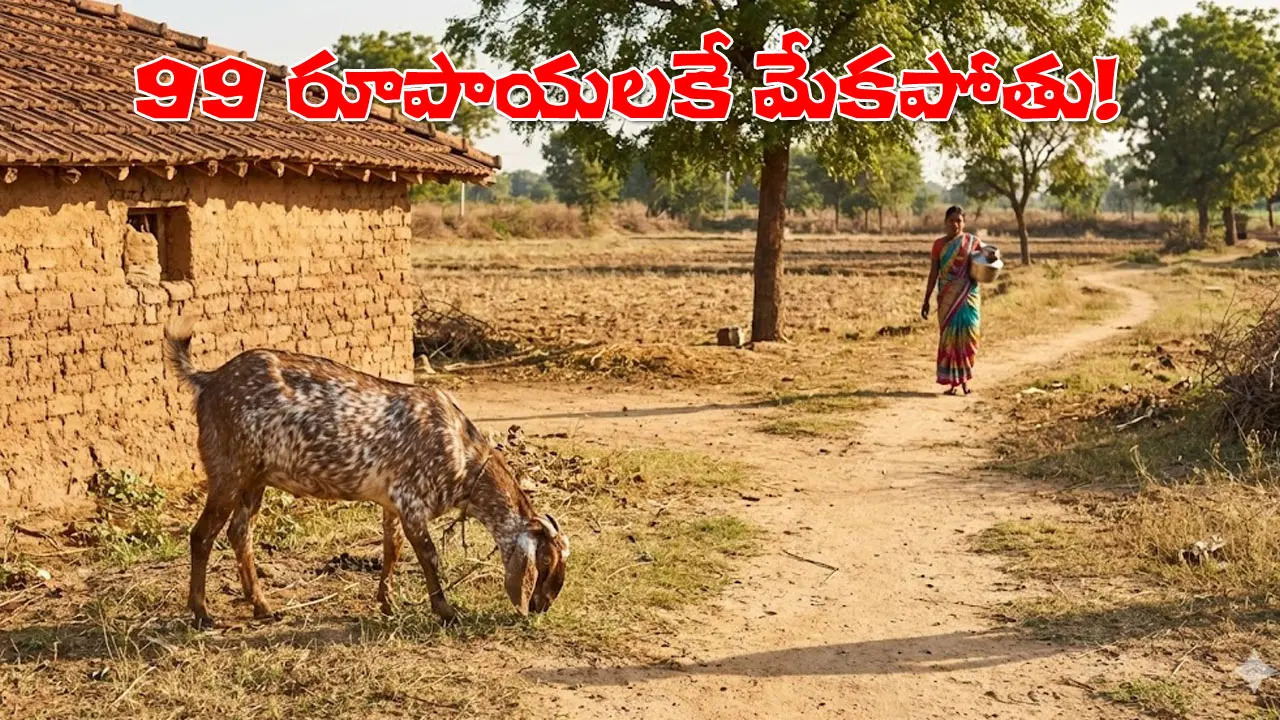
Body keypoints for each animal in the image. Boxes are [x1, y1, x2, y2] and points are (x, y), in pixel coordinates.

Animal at [162, 316, 568, 628]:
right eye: (546, 561)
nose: (542, 606)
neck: (465, 457)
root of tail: (209, 379)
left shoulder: (392, 503)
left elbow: (392, 549)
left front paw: (388, 604)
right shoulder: (413, 502)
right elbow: (428, 555)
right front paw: (446, 611)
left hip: (255, 478)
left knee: (239, 532)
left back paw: (263, 607)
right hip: (229, 469)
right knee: (202, 534)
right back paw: (201, 613)